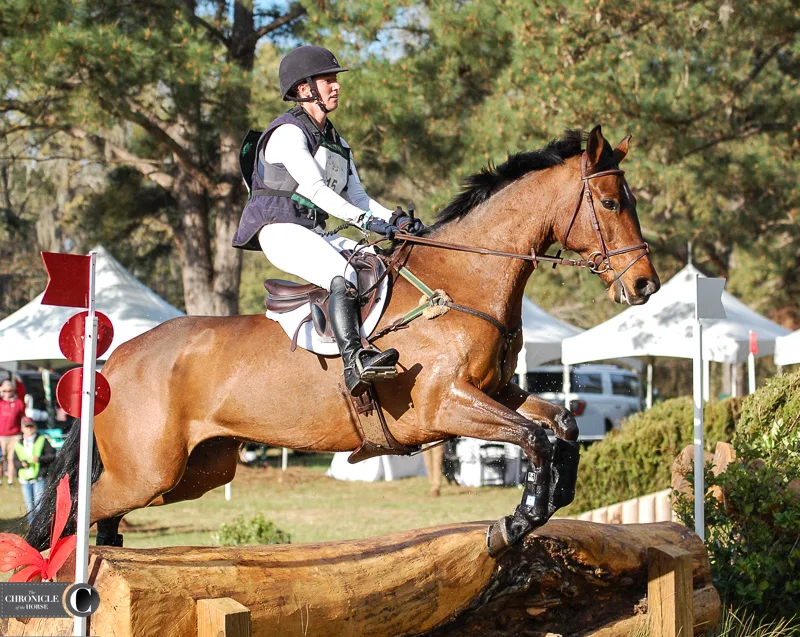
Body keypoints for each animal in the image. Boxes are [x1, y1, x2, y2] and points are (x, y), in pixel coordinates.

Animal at [28, 126, 660, 556]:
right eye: (610, 203)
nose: (645, 284)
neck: (464, 281)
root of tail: (116, 357)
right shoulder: (446, 404)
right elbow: (536, 439)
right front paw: (513, 523)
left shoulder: (496, 392)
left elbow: (562, 427)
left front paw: (544, 502)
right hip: (148, 472)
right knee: (79, 511)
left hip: (193, 473)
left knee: (104, 518)